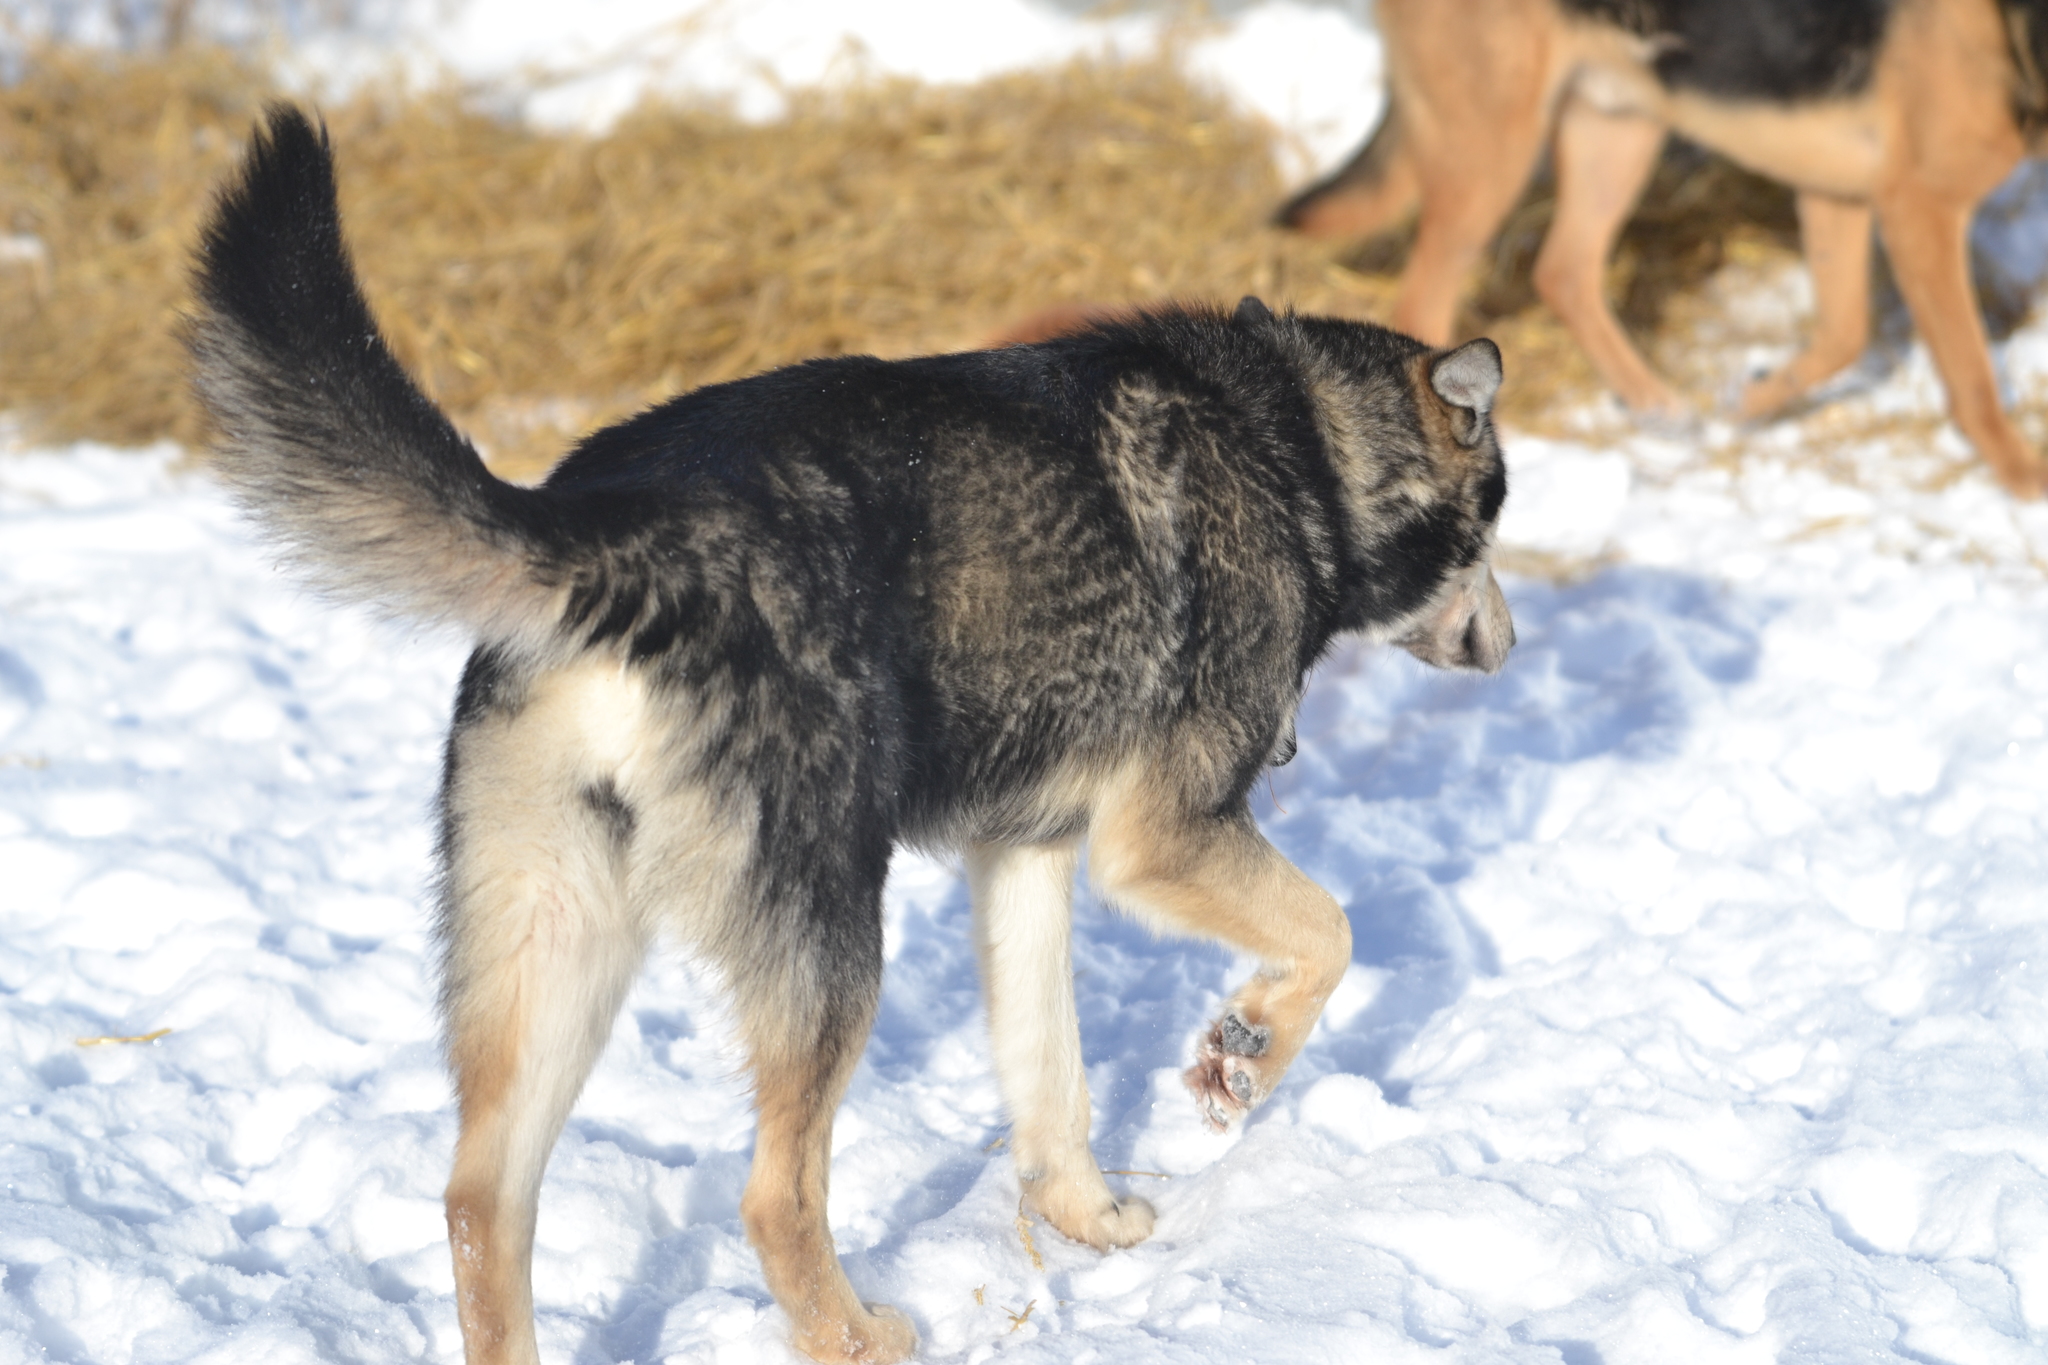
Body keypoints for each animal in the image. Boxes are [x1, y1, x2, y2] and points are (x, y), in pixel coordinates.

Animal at [184, 109, 1515, 1365]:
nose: (1508, 644)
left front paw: (1087, 1220)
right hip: (829, 945)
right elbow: (1328, 933)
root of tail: (616, 534)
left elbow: (1052, 1083)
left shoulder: (1026, 857)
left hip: (555, 943)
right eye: (1496, 523)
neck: (1299, 448)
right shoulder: (1161, 839)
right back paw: (856, 1335)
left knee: (478, 1200)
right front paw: (1241, 1056)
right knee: (770, 1197)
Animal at [1277, 0, 2048, 501]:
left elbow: (1844, 335)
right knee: (1430, 300)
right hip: (1492, 149)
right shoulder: (1920, 211)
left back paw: (1661, 410)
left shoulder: (1843, 193)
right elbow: (1972, 376)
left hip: (1619, 123)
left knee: (1564, 271)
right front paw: (2022, 478)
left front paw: (1746, 404)